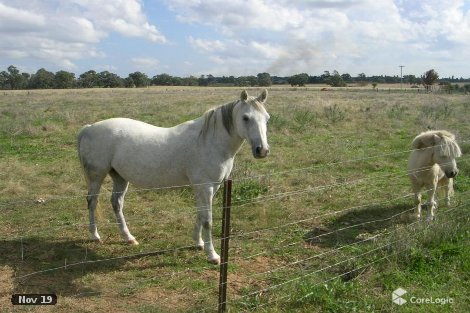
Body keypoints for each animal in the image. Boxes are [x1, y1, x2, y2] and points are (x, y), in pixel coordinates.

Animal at [78, 89, 270, 262]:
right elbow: (207, 220)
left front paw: (198, 242)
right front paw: (213, 255)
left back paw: (128, 238)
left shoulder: (211, 187)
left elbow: (200, 215)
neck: (208, 141)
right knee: (92, 202)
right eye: (246, 118)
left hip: (119, 177)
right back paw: (95, 235)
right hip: (97, 176)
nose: (262, 150)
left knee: (116, 203)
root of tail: (89, 128)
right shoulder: (205, 187)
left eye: (267, 118)